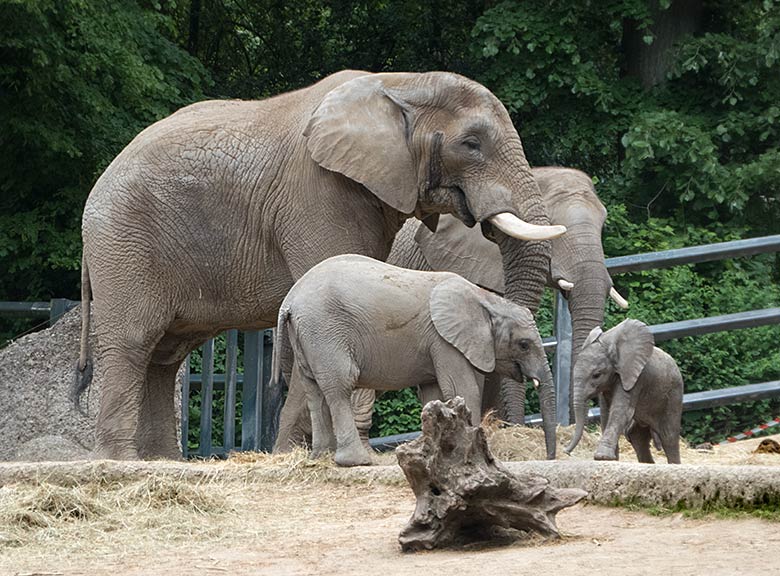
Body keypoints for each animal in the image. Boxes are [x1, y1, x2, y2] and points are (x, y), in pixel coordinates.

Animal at [274, 254, 556, 466]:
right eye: (524, 344)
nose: (549, 458)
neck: (487, 300)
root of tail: (289, 301)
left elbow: (433, 395)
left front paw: (431, 453)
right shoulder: (444, 341)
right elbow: (463, 389)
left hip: (307, 335)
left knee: (313, 390)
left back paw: (321, 457)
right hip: (325, 331)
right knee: (339, 387)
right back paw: (357, 461)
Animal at [560, 320, 684, 464]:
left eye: (597, 375)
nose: (566, 452)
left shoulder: (636, 378)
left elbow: (620, 411)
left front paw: (602, 457)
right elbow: (606, 414)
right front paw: (612, 459)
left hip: (674, 394)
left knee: (668, 436)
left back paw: (674, 465)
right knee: (638, 436)